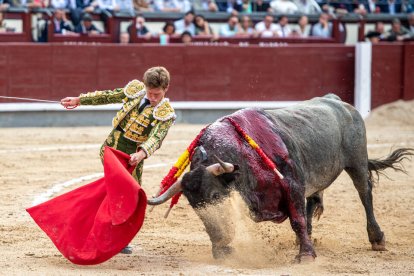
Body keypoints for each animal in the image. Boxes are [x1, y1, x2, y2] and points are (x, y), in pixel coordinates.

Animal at [147, 94, 412, 260]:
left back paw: (377, 239)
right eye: (193, 205)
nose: (220, 243)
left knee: (364, 192)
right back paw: (307, 238)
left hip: (356, 161)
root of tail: (339, 102)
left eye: (214, 195)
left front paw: (306, 256)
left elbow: (297, 219)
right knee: (313, 200)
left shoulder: (293, 184)